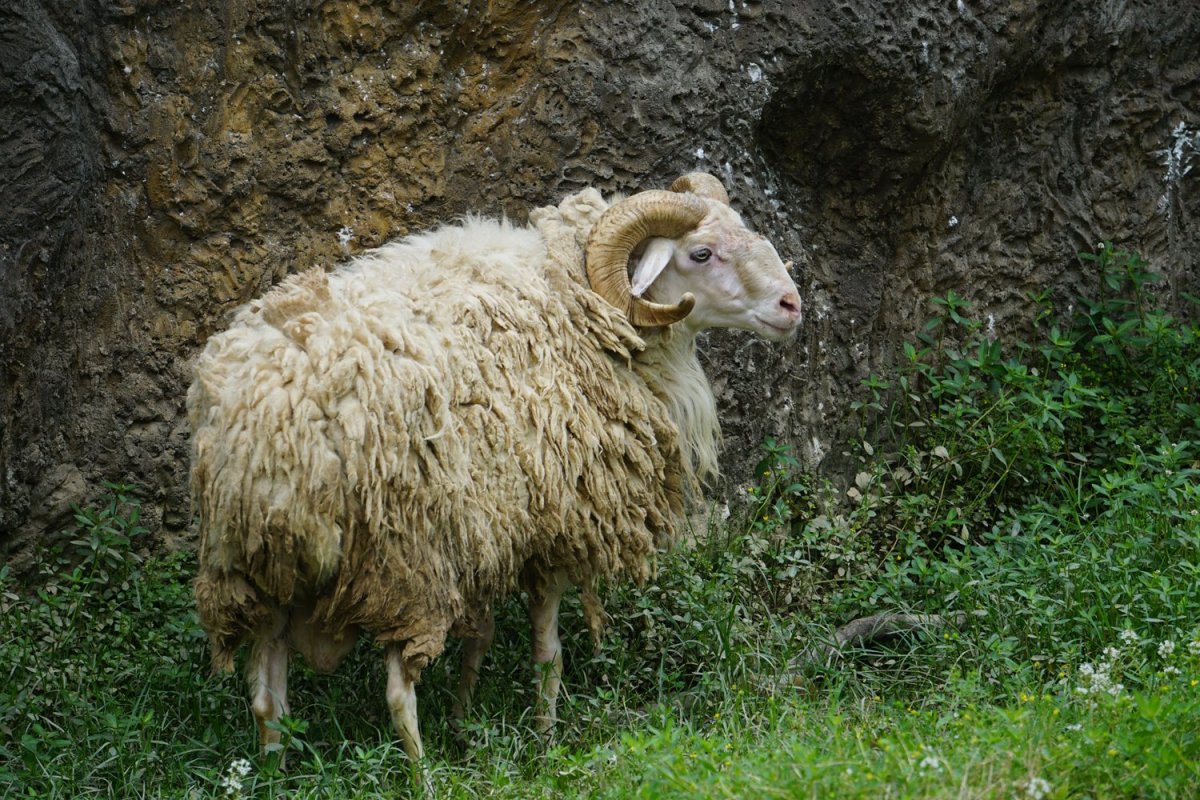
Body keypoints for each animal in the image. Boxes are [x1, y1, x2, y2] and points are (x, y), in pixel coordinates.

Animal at [189, 171, 802, 761]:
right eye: (701, 253)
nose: (792, 305)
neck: (579, 298)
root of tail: (270, 419)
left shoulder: (492, 525)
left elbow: (479, 637)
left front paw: (465, 724)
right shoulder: (557, 523)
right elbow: (547, 653)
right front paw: (544, 741)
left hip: (256, 571)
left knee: (267, 697)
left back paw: (274, 774)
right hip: (402, 561)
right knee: (396, 691)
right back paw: (422, 776)